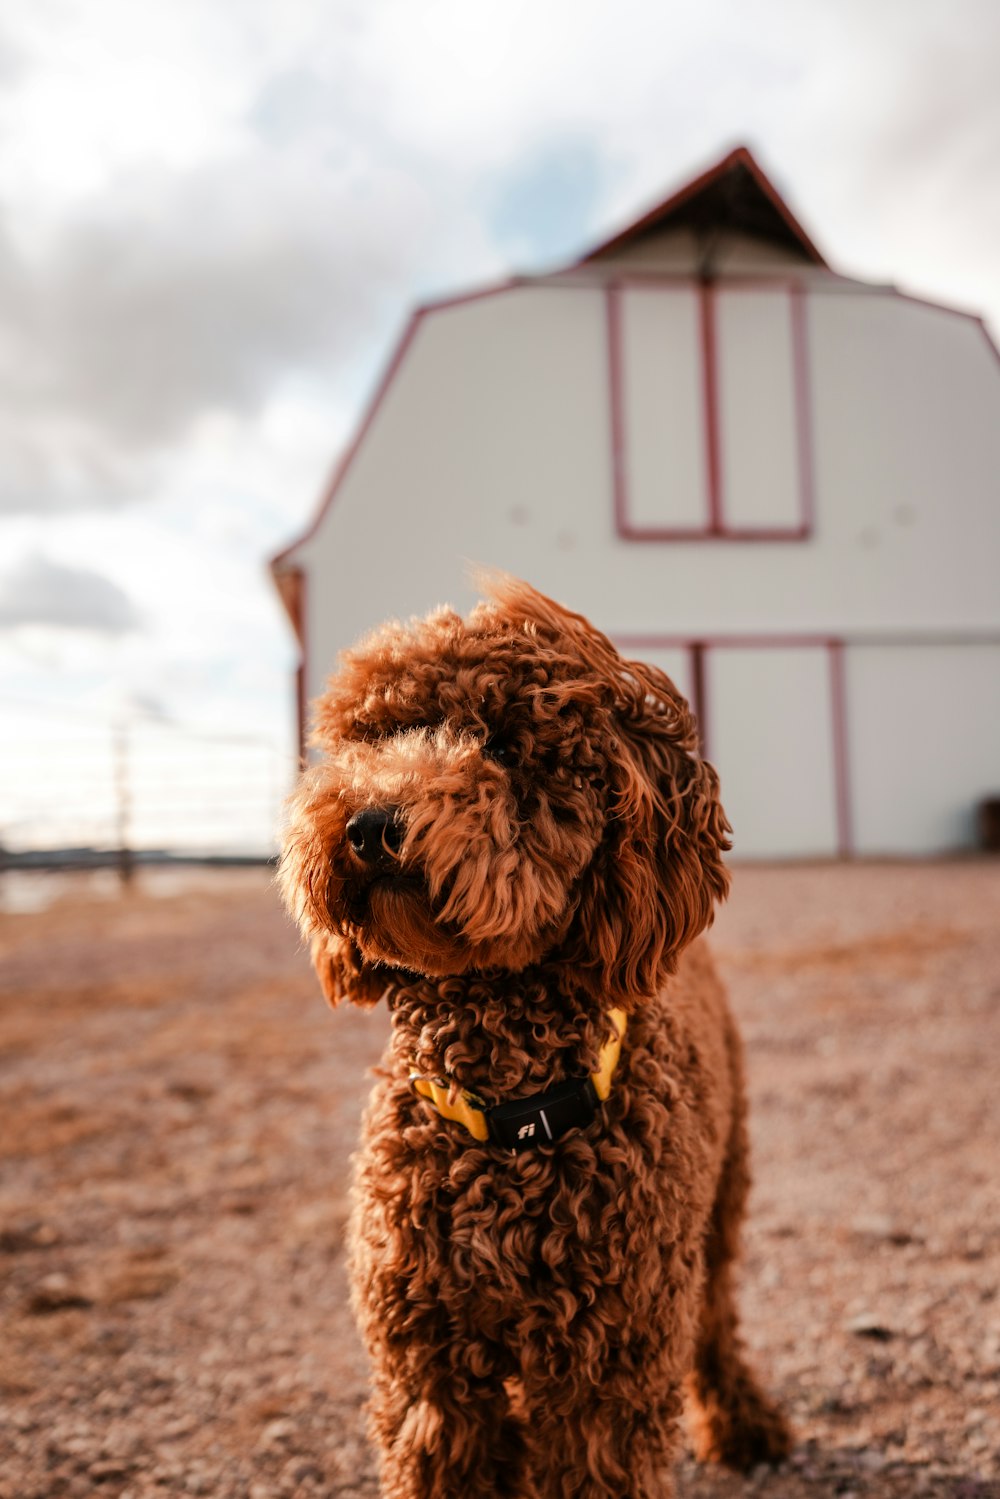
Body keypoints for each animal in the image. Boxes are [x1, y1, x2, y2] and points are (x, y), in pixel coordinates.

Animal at [280, 575, 791, 1499]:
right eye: (373, 735)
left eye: (502, 744)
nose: (369, 822)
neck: (505, 1113)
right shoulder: (430, 1374)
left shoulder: (605, 1371)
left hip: (720, 1202)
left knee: (716, 1312)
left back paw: (743, 1419)